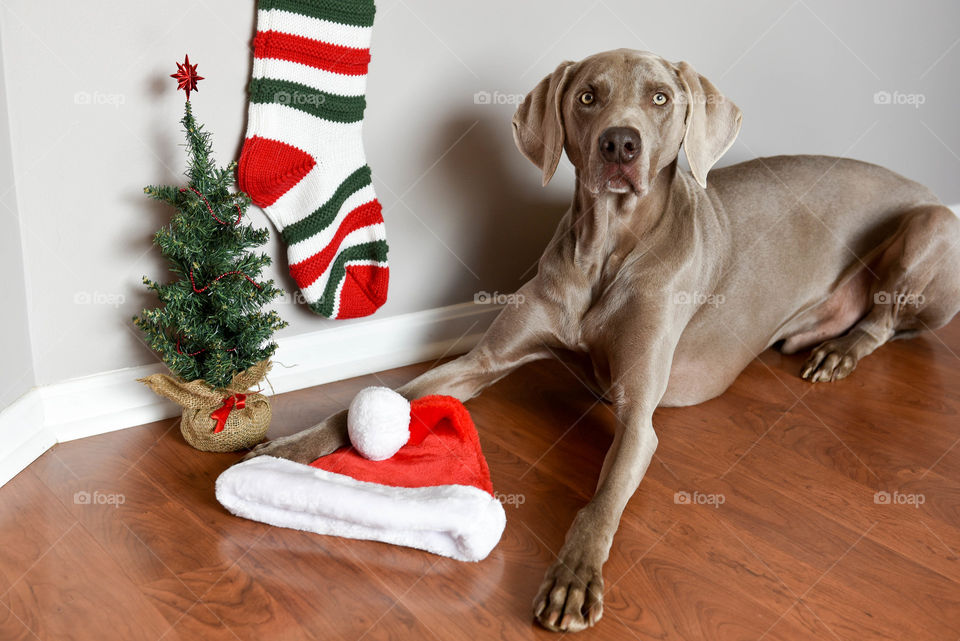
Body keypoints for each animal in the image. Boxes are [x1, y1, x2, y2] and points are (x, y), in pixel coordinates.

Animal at [248, 50, 960, 632]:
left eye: (661, 97)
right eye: (589, 95)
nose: (621, 143)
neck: (607, 252)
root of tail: (922, 182)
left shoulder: (640, 416)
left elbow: (600, 502)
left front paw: (573, 578)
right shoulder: (483, 360)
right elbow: (376, 398)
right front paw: (289, 445)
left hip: (931, 224)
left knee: (886, 320)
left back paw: (837, 349)